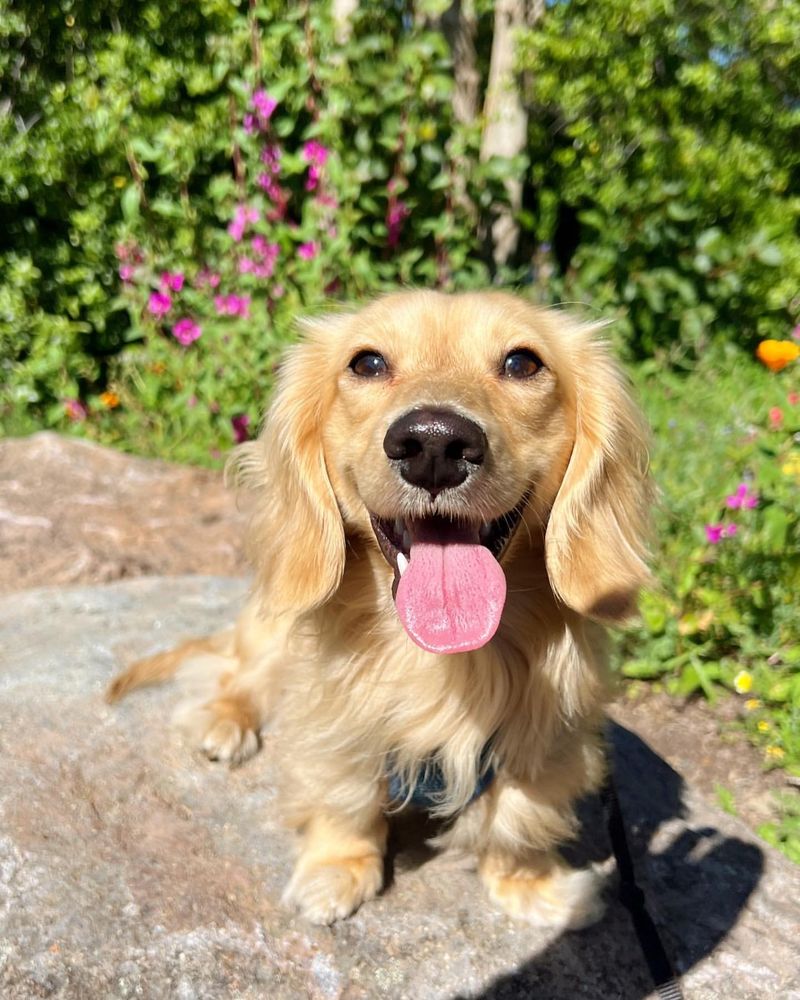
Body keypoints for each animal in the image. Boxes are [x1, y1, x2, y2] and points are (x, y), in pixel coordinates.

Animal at [109, 290, 652, 928]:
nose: (435, 443)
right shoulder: (334, 716)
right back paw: (226, 721)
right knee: (236, 678)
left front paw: (528, 883)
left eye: (523, 362)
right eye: (367, 363)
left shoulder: (546, 737)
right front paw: (337, 869)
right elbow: (343, 794)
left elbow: (518, 816)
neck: (440, 661)